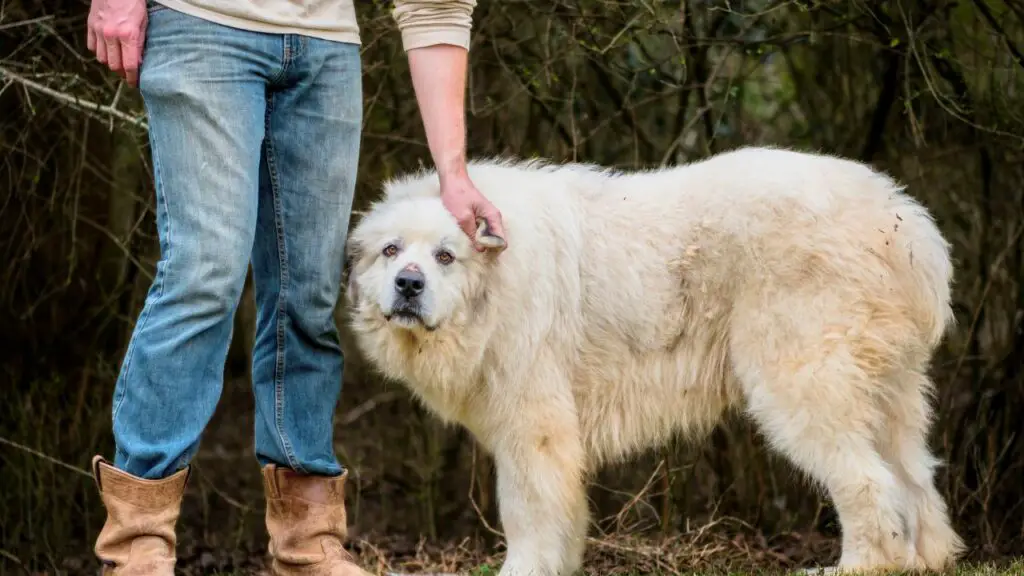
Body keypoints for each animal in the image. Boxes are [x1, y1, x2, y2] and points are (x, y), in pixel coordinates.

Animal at [346, 145, 966, 569]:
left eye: (445, 256)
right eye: (391, 251)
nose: (408, 285)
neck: (493, 286)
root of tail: (905, 223)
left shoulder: (534, 427)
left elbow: (526, 512)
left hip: (800, 384)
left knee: (869, 483)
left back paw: (857, 566)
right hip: (889, 394)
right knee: (915, 480)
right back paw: (927, 559)